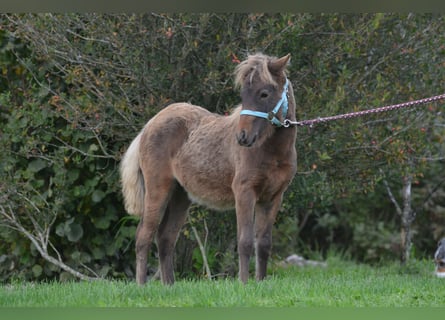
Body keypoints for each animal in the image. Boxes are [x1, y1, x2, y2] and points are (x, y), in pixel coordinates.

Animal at [119, 53, 296, 284]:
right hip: (158, 189)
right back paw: (142, 286)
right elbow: (245, 241)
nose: (242, 137)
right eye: (243, 94)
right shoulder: (245, 192)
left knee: (165, 237)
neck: (272, 152)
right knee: (144, 236)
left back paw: (169, 286)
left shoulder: (273, 197)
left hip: (180, 195)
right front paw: (244, 284)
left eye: (264, 93)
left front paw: (260, 283)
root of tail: (149, 125)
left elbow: (264, 243)